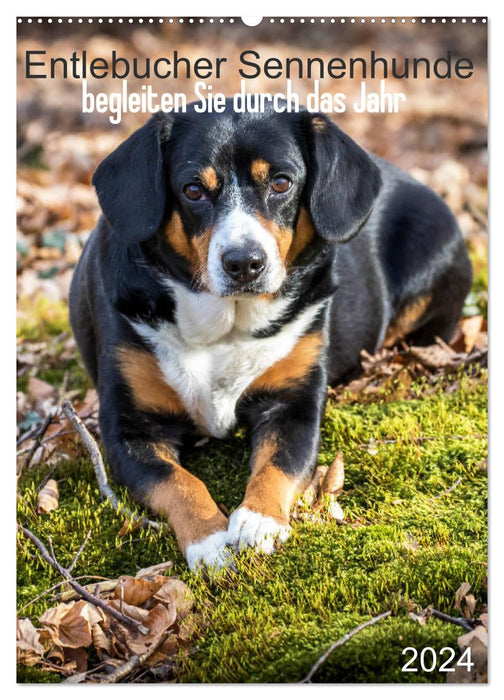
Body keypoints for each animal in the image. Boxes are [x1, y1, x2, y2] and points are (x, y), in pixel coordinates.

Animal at [70, 105, 472, 576]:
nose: (244, 262)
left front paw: (259, 519)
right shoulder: (129, 430)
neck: (227, 326)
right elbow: (179, 482)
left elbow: (279, 462)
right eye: (192, 190)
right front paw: (209, 539)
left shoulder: (293, 405)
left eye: (281, 182)